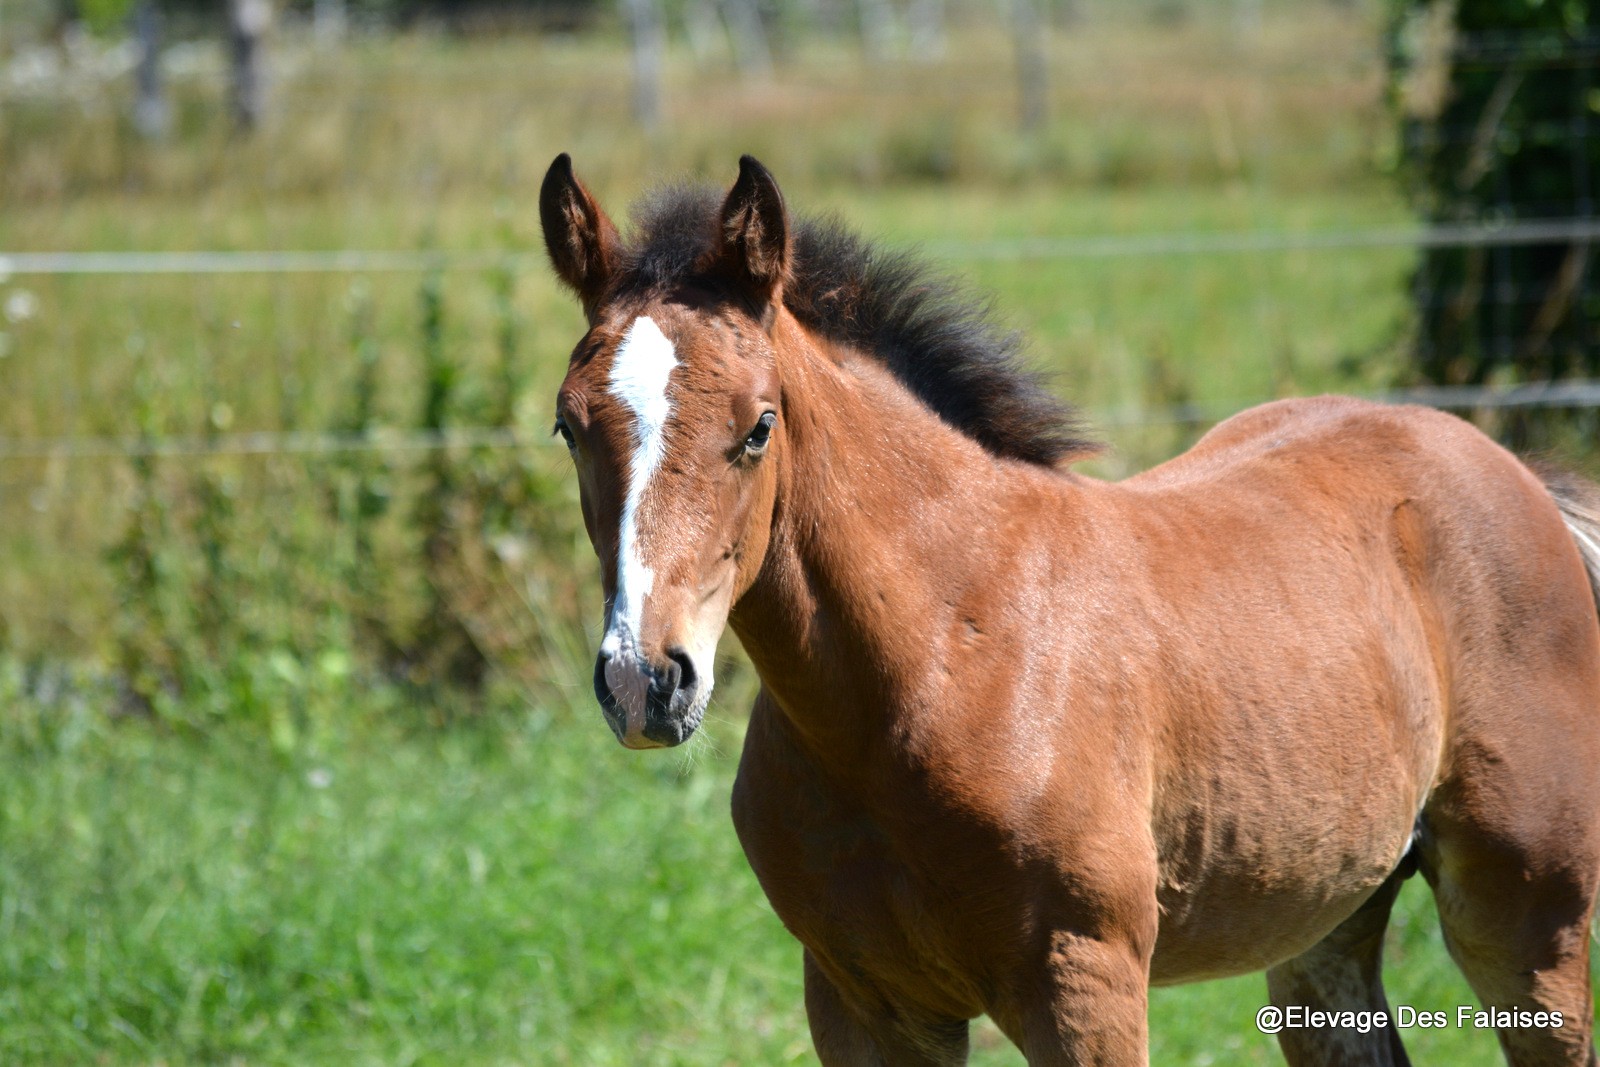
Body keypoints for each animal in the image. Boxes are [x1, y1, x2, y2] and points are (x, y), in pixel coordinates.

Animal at [540, 151, 1600, 1067]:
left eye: (759, 427)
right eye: (566, 425)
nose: (645, 680)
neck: (939, 656)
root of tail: (1517, 475)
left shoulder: (1081, 983)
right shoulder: (861, 1001)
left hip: (1527, 917)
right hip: (1324, 920)